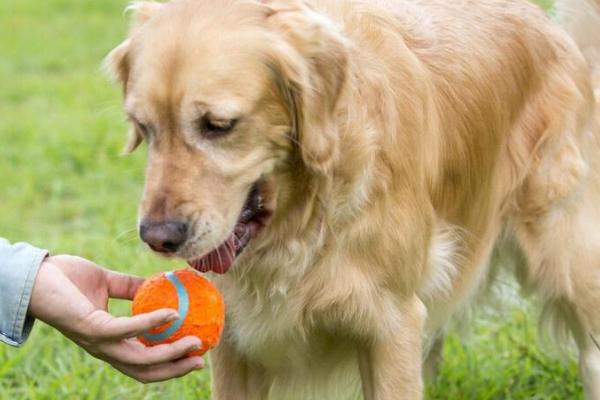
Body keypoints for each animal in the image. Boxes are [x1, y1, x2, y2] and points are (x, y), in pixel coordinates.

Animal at [105, 0, 596, 396]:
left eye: (218, 125)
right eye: (143, 127)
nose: (158, 237)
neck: (306, 222)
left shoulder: (391, 324)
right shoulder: (235, 338)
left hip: (562, 247)